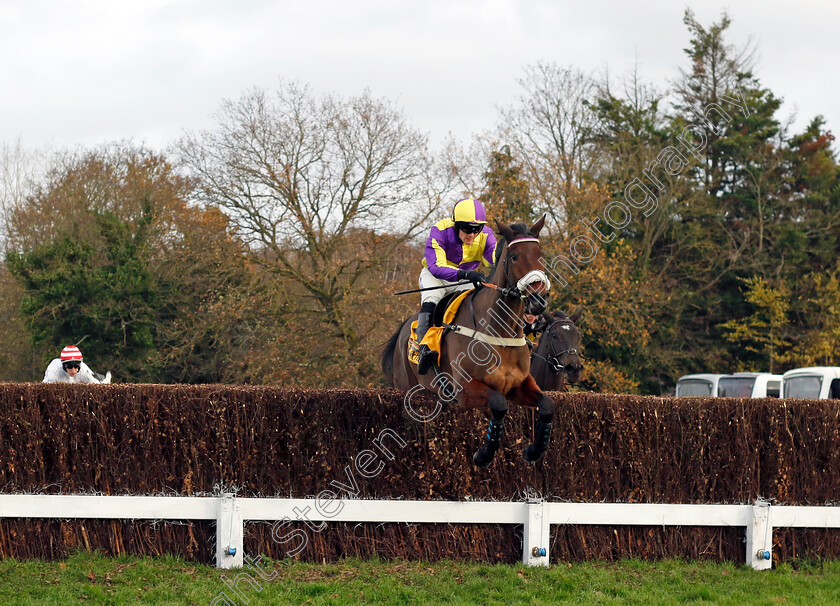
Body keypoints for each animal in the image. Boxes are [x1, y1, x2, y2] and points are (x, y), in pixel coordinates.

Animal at [382, 218, 556, 470]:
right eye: (514, 256)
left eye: (541, 255)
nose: (538, 300)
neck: (498, 331)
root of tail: (405, 326)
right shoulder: (465, 390)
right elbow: (499, 405)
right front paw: (484, 455)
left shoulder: (519, 385)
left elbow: (547, 405)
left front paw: (534, 451)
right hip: (405, 385)